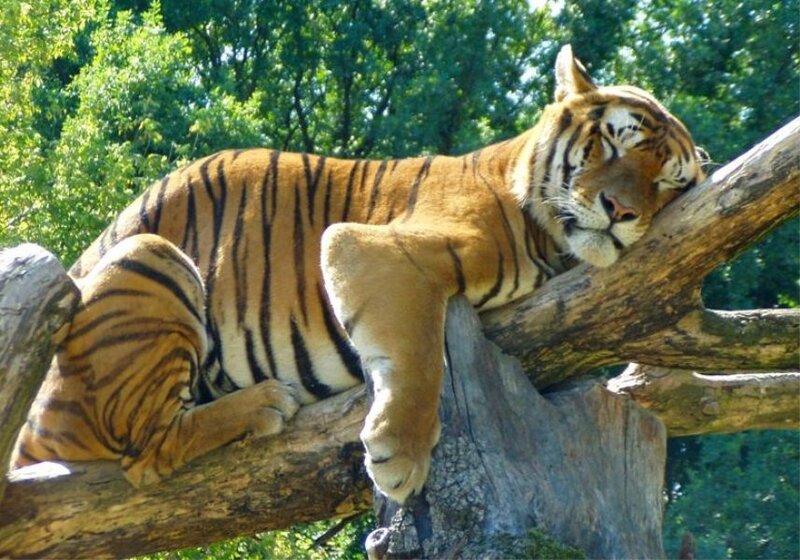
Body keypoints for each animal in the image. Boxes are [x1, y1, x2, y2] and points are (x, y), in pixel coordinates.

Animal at [11, 45, 705, 504]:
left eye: (667, 182)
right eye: (611, 144)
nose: (620, 211)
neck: (549, 240)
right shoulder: (374, 247)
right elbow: (419, 356)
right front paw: (401, 456)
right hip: (152, 256)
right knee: (145, 452)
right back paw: (263, 403)